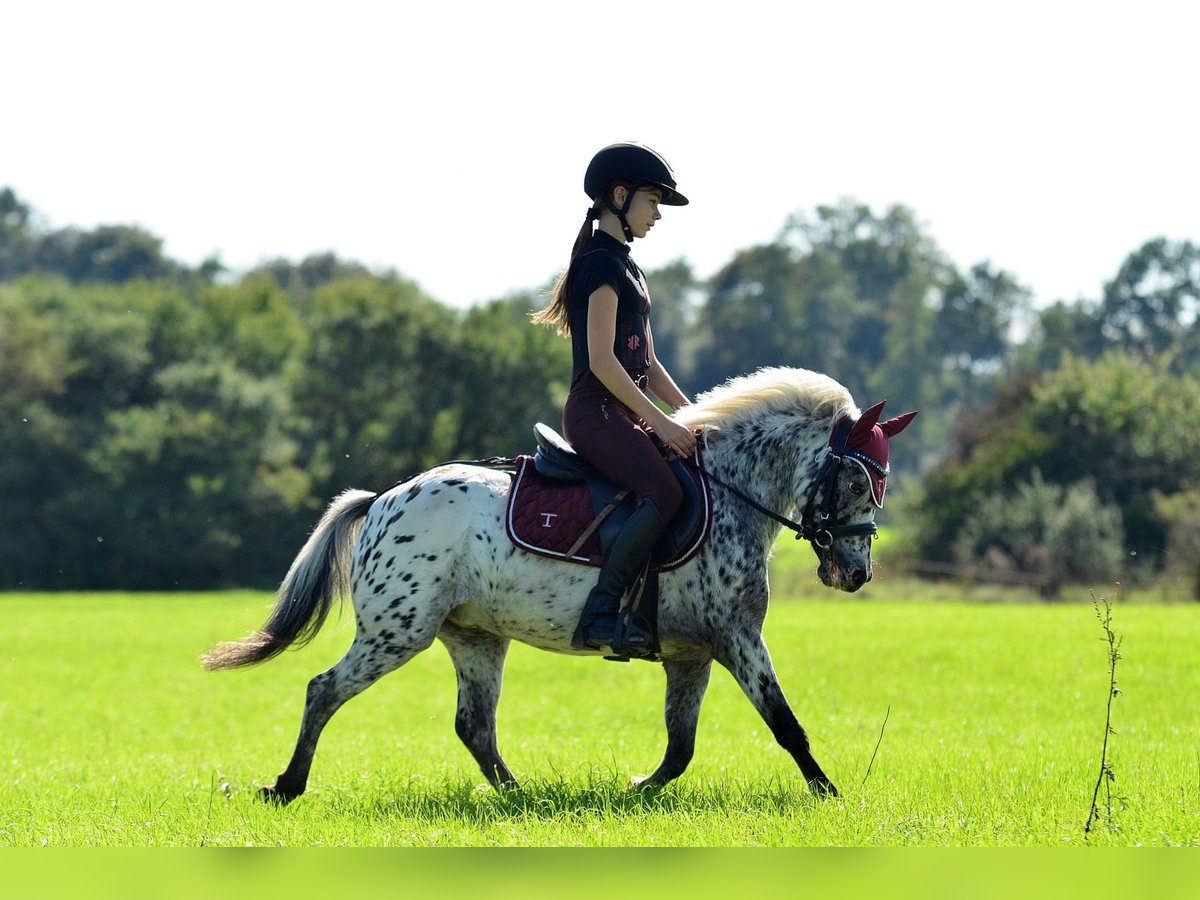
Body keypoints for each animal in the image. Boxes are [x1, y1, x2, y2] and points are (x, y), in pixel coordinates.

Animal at [201, 366, 916, 803]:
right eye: (857, 481)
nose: (856, 574)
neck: (732, 494)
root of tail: (384, 499)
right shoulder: (737, 638)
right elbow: (786, 723)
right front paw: (830, 795)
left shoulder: (692, 654)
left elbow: (681, 746)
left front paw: (634, 789)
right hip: (396, 632)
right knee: (324, 690)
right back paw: (287, 785)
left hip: (475, 637)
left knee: (474, 726)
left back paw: (521, 798)